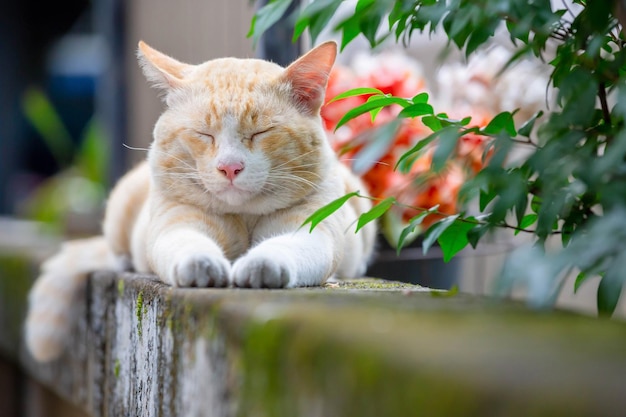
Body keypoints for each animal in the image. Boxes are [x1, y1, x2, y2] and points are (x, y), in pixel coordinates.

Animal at [24, 40, 376, 362]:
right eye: (204, 134)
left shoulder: (314, 230)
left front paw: (260, 265)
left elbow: (286, 246)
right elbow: (187, 244)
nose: (230, 167)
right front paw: (203, 265)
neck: (244, 216)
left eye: (261, 133)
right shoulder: (175, 223)